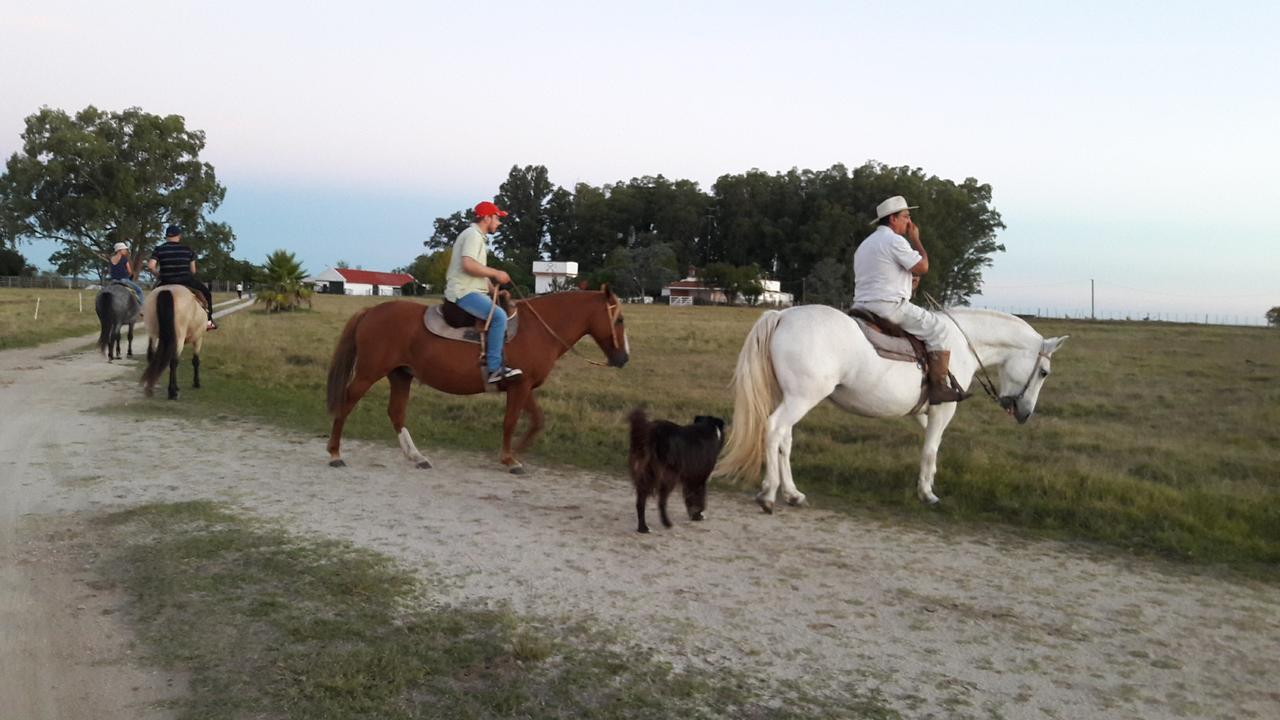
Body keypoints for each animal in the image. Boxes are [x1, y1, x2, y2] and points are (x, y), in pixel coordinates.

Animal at [325, 285, 629, 471]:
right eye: (619, 320)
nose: (623, 358)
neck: (538, 330)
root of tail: (370, 311)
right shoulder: (519, 387)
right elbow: (510, 422)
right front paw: (509, 459)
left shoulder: (524, 386)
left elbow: (537, 421)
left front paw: (515, 452)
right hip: (368, 372)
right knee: (346, 403)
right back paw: (335, 453)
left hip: (400, 375)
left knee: (396, 412)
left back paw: (417, 457)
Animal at [716, 304, 1064, 507]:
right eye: (1044, 372)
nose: (1025, 413)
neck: (963, 345)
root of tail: (782, 315)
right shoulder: (943, 410)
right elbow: (930, 450)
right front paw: (928, 494)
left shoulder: (924, 412)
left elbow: (931, 446)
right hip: (801, 398)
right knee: (775, 430)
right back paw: (769, 492)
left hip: (790, 397)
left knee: (783, 439)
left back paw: (792, 492)